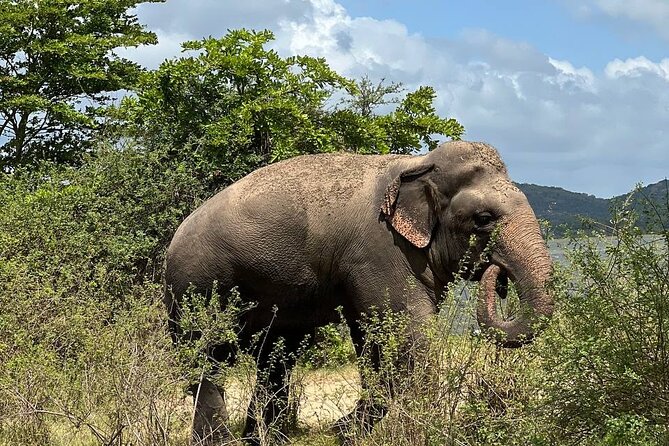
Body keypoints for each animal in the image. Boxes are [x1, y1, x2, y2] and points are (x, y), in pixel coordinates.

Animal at [164, 140, 554, 444]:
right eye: (483, 219)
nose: (496, 274)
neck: (417, 165)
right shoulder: (379, 250)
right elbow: (407, 339)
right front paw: (345, 431)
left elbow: (374, 340)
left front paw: (345, 432)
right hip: (195, 285)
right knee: (207, 358)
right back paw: (219, 441)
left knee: (275, 358)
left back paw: (260, 440)